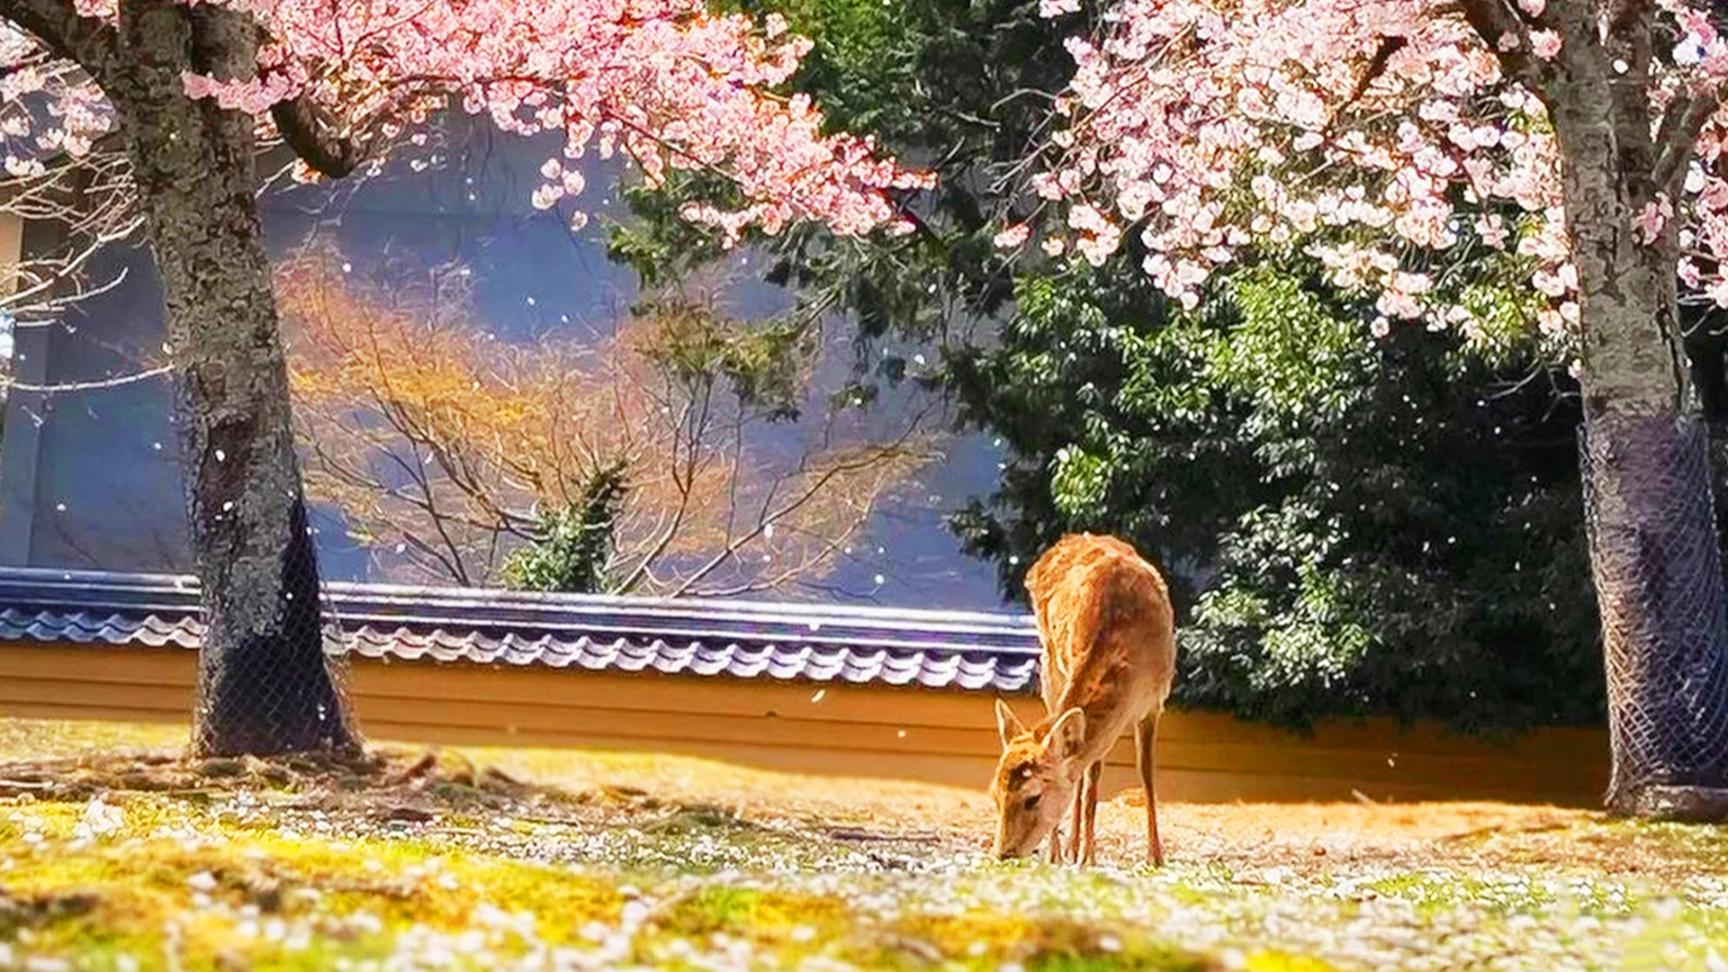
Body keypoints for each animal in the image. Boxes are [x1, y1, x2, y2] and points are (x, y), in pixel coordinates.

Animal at [989, 533, 1175, 867]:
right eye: (995, 795)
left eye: (1032, 797)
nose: (1003, 853)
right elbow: (1092, 776)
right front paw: (1086, 855)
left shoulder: (1155, 702)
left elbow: (1145, 772)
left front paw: (1155, 856)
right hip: (1050, 665)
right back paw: (1063, 850)